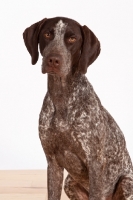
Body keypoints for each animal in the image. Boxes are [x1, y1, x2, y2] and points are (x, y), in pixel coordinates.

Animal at [23, 17, 133, 200]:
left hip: (126, 182)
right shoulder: (53, 163)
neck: (62, 98)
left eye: (72, 39)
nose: (53, 60)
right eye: (47, 34)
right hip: (69, 182)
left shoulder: (95, 163)